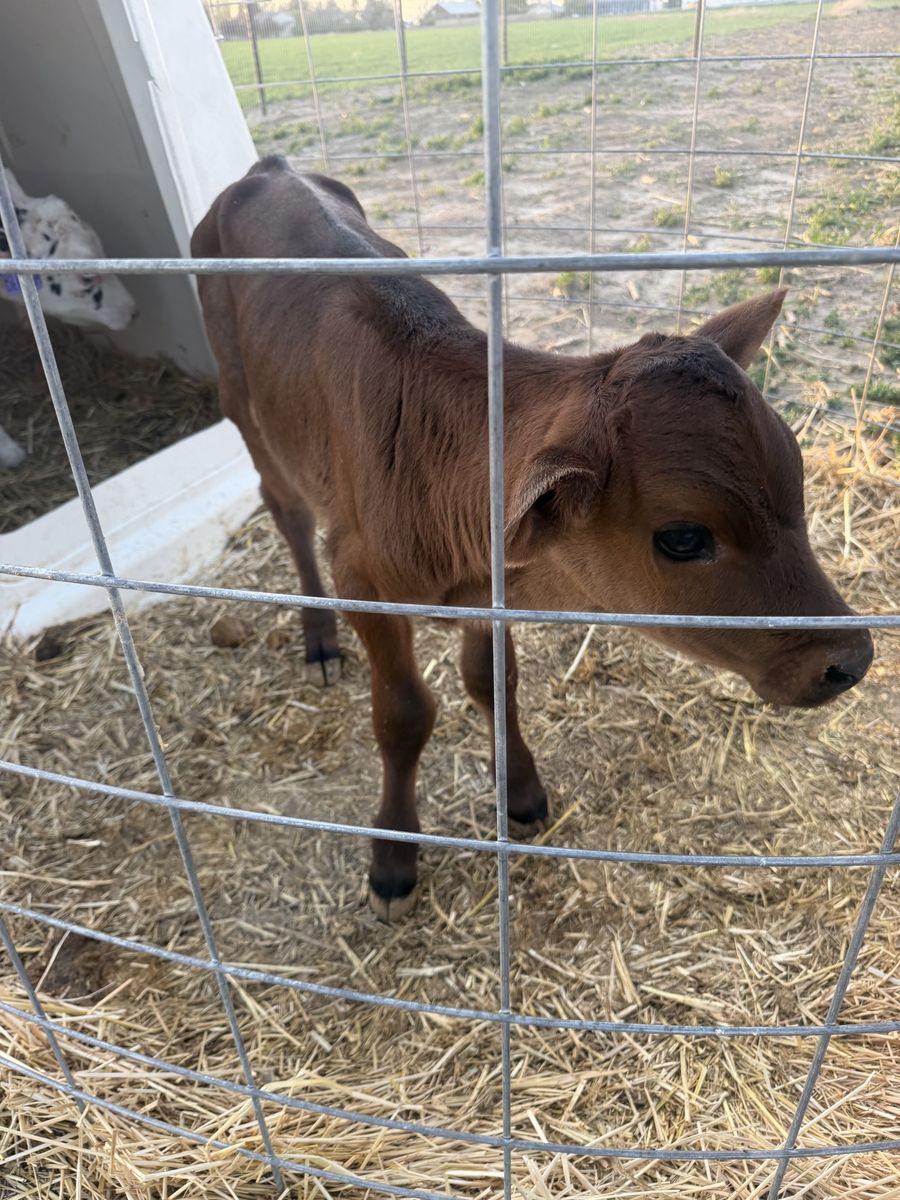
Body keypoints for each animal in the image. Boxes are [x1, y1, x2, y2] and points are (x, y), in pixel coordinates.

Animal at [192, 157, 873, 921]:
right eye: (683, 537)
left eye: (797, 483)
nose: (851, 658)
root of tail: (270, 167)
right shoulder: (362, 579)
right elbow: (402, 715)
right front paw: (393, 856)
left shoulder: (489, 591)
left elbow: (495, 684)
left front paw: (517, 791)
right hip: (243, 406)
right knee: (285, 511)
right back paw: (317, 639)